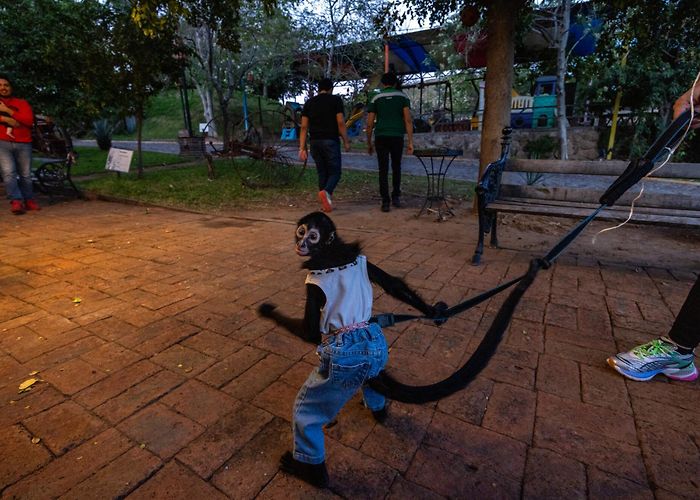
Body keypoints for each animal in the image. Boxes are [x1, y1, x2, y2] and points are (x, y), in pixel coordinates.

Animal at [257, 211, 447, 489]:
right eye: (301, 231)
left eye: (313, 236)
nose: (301, 244)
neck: (332, 250)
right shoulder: (361, 258)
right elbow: (394, 285)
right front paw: (433, 312)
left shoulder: (313, 277)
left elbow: (309, 332)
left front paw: (268, 313)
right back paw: (379, 412)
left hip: (340, 370)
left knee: (306, 416)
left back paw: (313, 475)